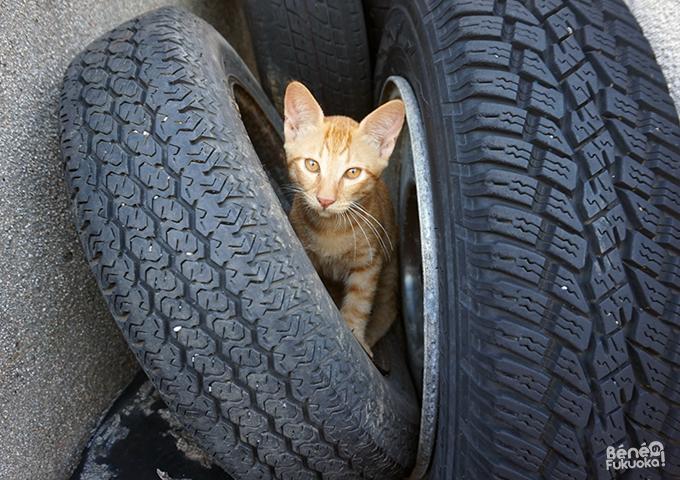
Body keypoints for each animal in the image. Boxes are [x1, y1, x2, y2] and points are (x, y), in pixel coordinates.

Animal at [282, 80, 404, 356]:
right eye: (312, 165)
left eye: (352, 173)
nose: (325, 200)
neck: (331, 231)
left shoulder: (369, 262)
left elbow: (360, 301)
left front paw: (356, 336)